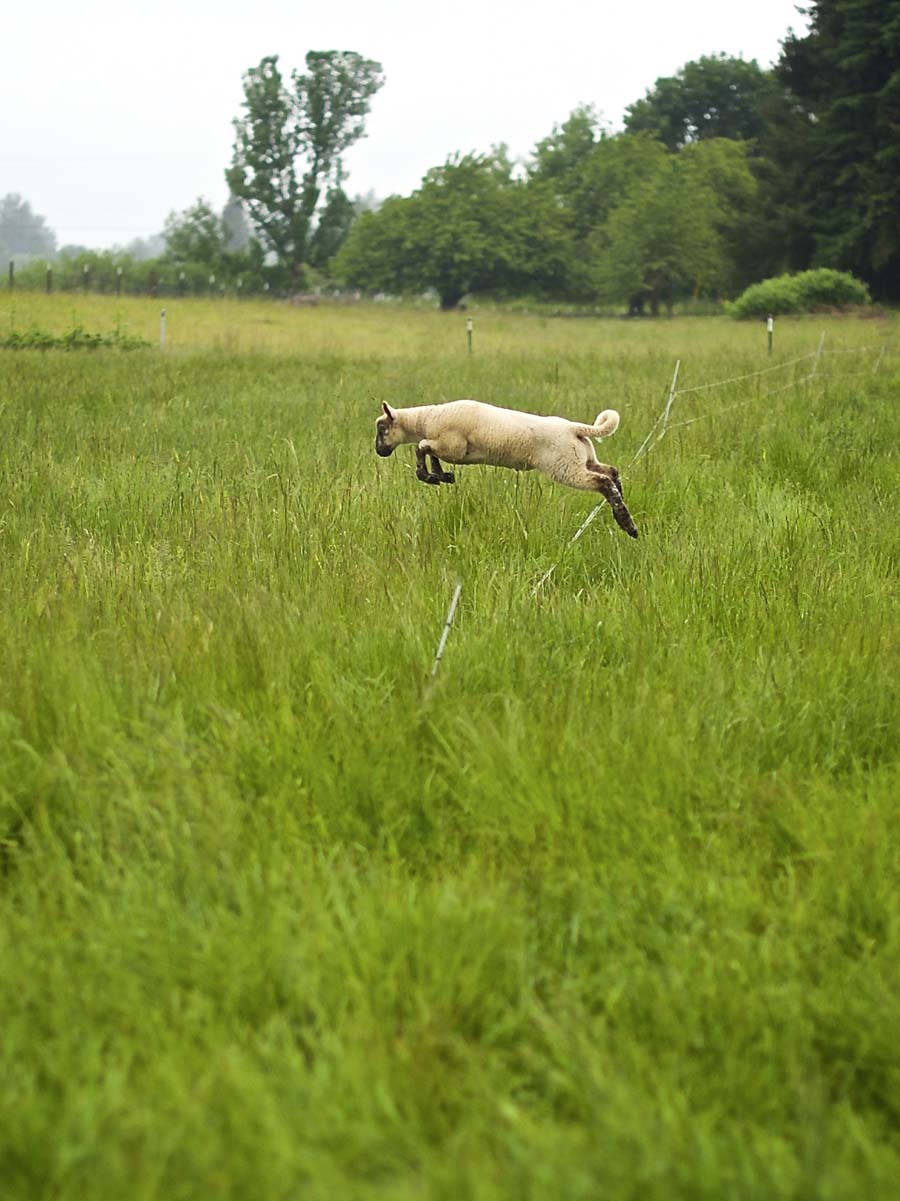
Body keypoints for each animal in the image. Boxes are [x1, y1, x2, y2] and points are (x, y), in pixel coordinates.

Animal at [374, 398, 634, 540]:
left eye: (382, 429)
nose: (379, 450)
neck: (427, 419)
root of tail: (574, 428)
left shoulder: (453, 447)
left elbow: (421, 447)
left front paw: (427, 475)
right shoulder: (447, 448)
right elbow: (429, 452)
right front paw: (441, 475)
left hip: (565, 467)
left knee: (602, 481)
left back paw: (628, 525)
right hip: (584, 460)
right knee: (612, 472)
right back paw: (621, 512)